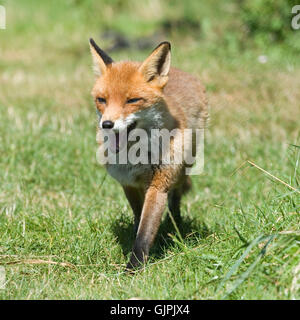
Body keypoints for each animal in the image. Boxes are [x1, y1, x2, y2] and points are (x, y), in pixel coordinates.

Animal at [88, 38, 209, 270]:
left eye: (132, 100)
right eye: (102, 99)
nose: (107, 124)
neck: (137, 157)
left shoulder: (159, 183)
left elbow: (145, 232)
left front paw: (134, 268)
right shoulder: (128, 182)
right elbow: (139, 217)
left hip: (183, 167)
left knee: (176, 198)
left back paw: (176, 225)